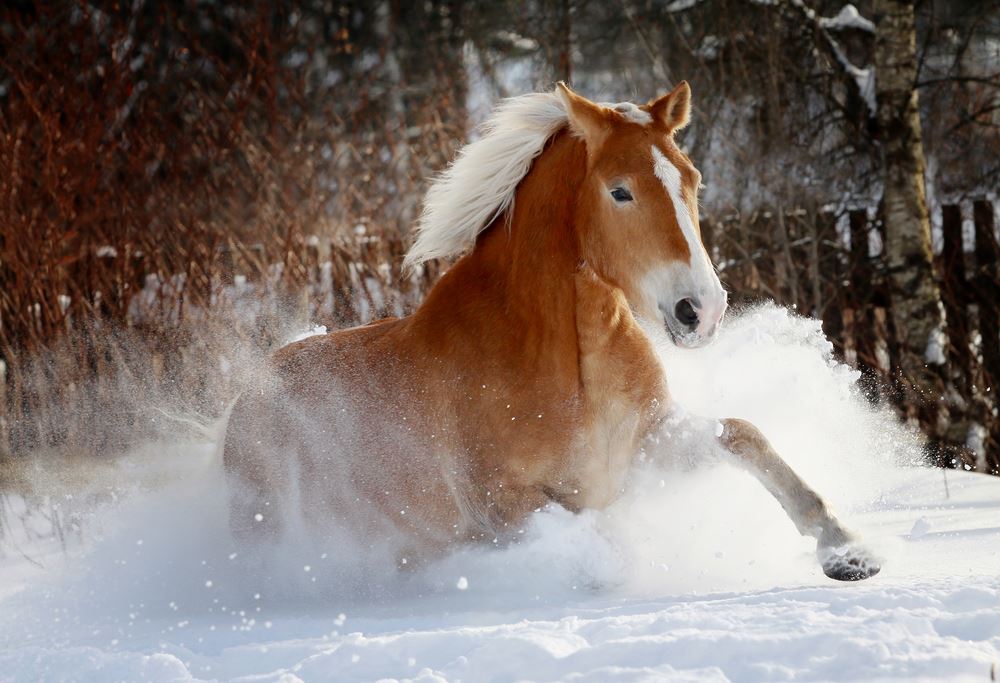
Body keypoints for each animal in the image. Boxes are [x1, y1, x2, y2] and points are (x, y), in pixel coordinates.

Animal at [223, 81, 880, 584]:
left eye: (691, 179)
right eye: (620, 190)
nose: (702, 310)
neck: (573, 367)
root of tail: (245, 399)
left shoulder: (647, 442)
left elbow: (745, 436)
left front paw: (847, 552)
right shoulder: (504, 507)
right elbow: (594, 540)